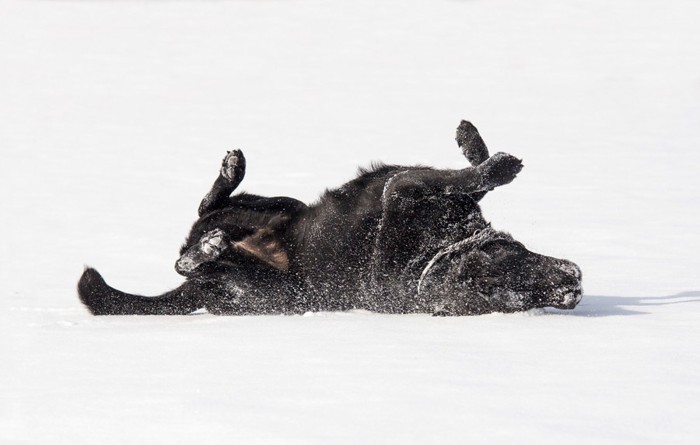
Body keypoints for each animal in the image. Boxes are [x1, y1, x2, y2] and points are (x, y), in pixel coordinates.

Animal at [76, 121, 584, 316]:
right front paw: (477, 143)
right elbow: (474, 177)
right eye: (510, 273)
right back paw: (230, 174)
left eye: (514, 297)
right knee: (208, 211)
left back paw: (208, 248)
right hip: (279, 207)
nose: (572, 291)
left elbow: (472, 177)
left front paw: (490, 159)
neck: (433, 254)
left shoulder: (405, 187)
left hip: (271, 286)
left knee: (193, 251)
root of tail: (195, 291)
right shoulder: (410, 186)